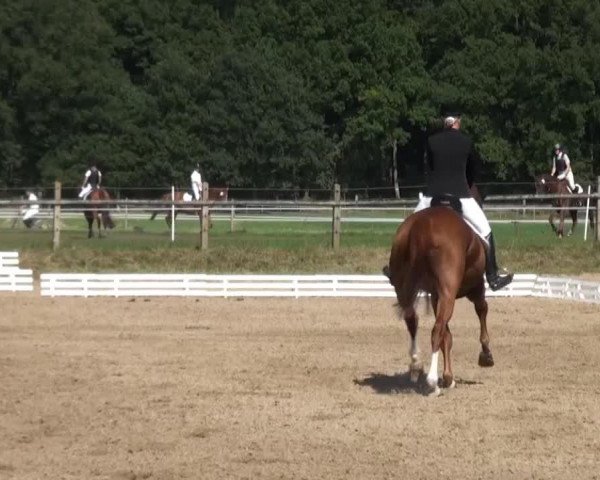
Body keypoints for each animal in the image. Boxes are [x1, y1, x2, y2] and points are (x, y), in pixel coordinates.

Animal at [384, 186, 492, 396]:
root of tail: (420, 228)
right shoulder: (474, 289)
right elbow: (482, 310)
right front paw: (485, 354)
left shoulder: (436, 296)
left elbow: (447, 337)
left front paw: (449, 377)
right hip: (449, 294)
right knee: (436, 330)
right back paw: (432, 382)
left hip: (405, 288)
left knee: (413, 321)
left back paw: (416, 365)